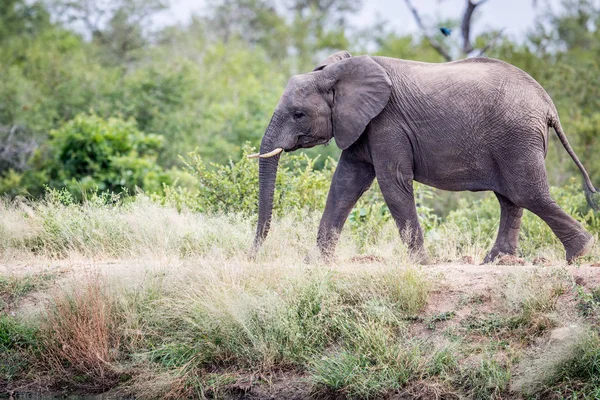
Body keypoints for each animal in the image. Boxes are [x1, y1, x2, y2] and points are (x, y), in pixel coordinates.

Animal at [247, 51, 596, 264]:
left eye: (298, 114)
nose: (253, 256)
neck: (337, 72)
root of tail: (548, 104)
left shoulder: (386, 123)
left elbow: (392, 183)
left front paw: (421, 264)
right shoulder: (362, 126)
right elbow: (346, 183)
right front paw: (318, 262)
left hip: (516, 137)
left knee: (526, 193)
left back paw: (581, 254)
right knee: (510, 198)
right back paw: (496, 261)